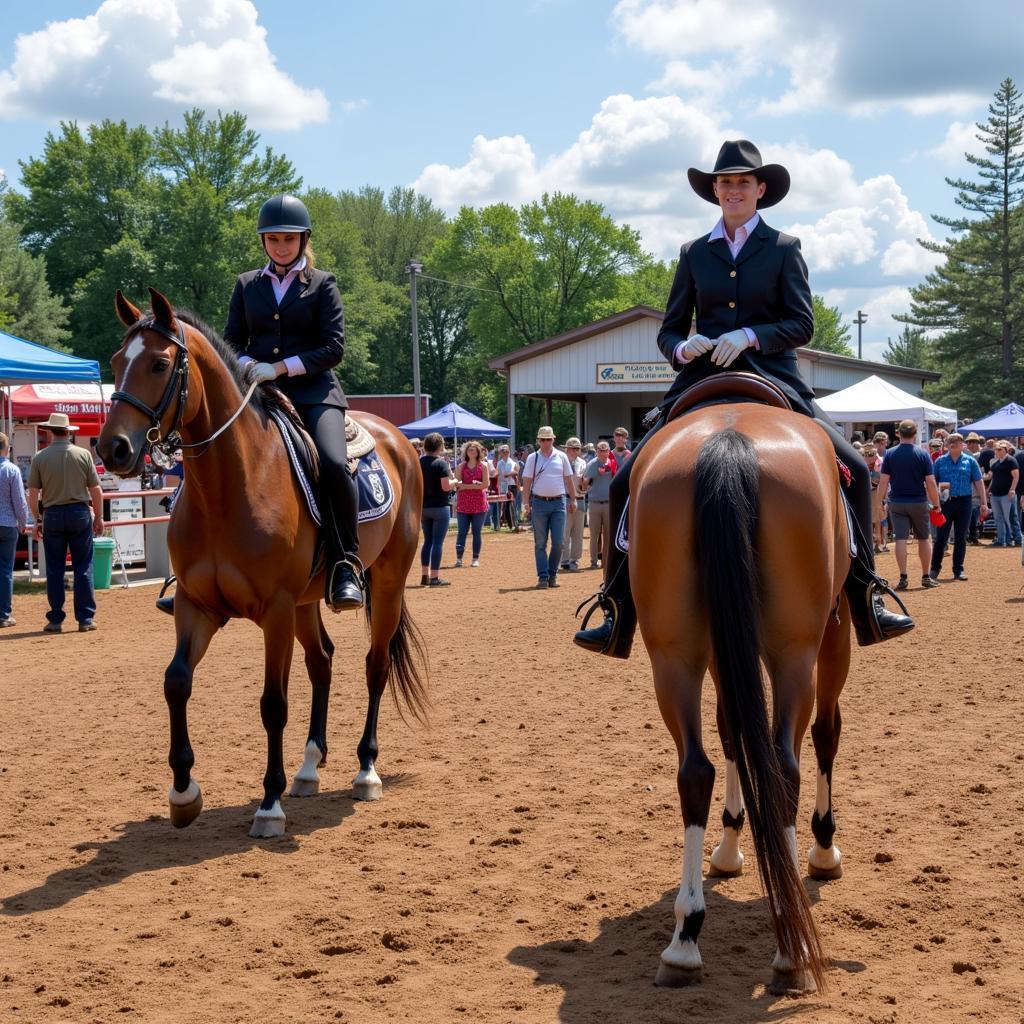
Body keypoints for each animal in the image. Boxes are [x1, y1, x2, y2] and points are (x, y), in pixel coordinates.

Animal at [97, 288, 425, 839]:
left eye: (159, 364)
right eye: (117, 362)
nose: (112, 448)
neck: (228, 486)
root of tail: (400, 440)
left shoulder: (274, 611)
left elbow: (273, 704)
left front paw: (269, 805)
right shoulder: (196, 606)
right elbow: (175, 682)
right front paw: (183, 792)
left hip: (386, 585)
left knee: (374, 666)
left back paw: (365, 771)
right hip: (307, 603)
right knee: (323, 661)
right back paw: (310, 768)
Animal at [630, 397, 847, 991]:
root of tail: (728, 442)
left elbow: (732, 732)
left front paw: (728, 848)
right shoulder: (836, 628)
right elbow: (826, 733)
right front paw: (824, 847)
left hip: (673, 651)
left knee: (696, 769)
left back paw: (684, 939)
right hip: (797, 648)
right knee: (785, 765)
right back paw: (792, 947)